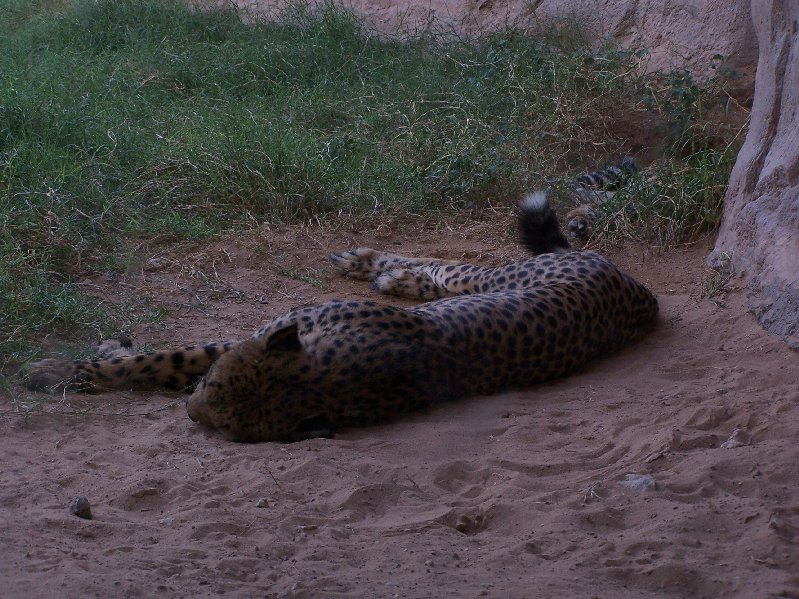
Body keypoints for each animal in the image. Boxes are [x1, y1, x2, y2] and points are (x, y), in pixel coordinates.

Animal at [25, 191, 658, 443]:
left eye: (215, 401)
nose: (190, 412)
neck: (329, 376)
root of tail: (639, 292)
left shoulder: (267, 330)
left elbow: (166, 357)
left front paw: (70, 369)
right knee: (430, 267)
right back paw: (381, 270)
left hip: (495, 278)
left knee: (442, 265)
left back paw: (377, 267)